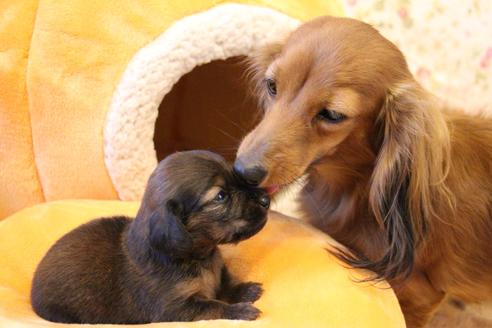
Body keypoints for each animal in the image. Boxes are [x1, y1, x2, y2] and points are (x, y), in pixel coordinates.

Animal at [31, 151, 270, 322]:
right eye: (221, 196)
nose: (266, 199)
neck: (200, 256)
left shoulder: (217, 272)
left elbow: (225, 284)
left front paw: (245, 290)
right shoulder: (175, 308)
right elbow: (213, 306)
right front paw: (238, 311)